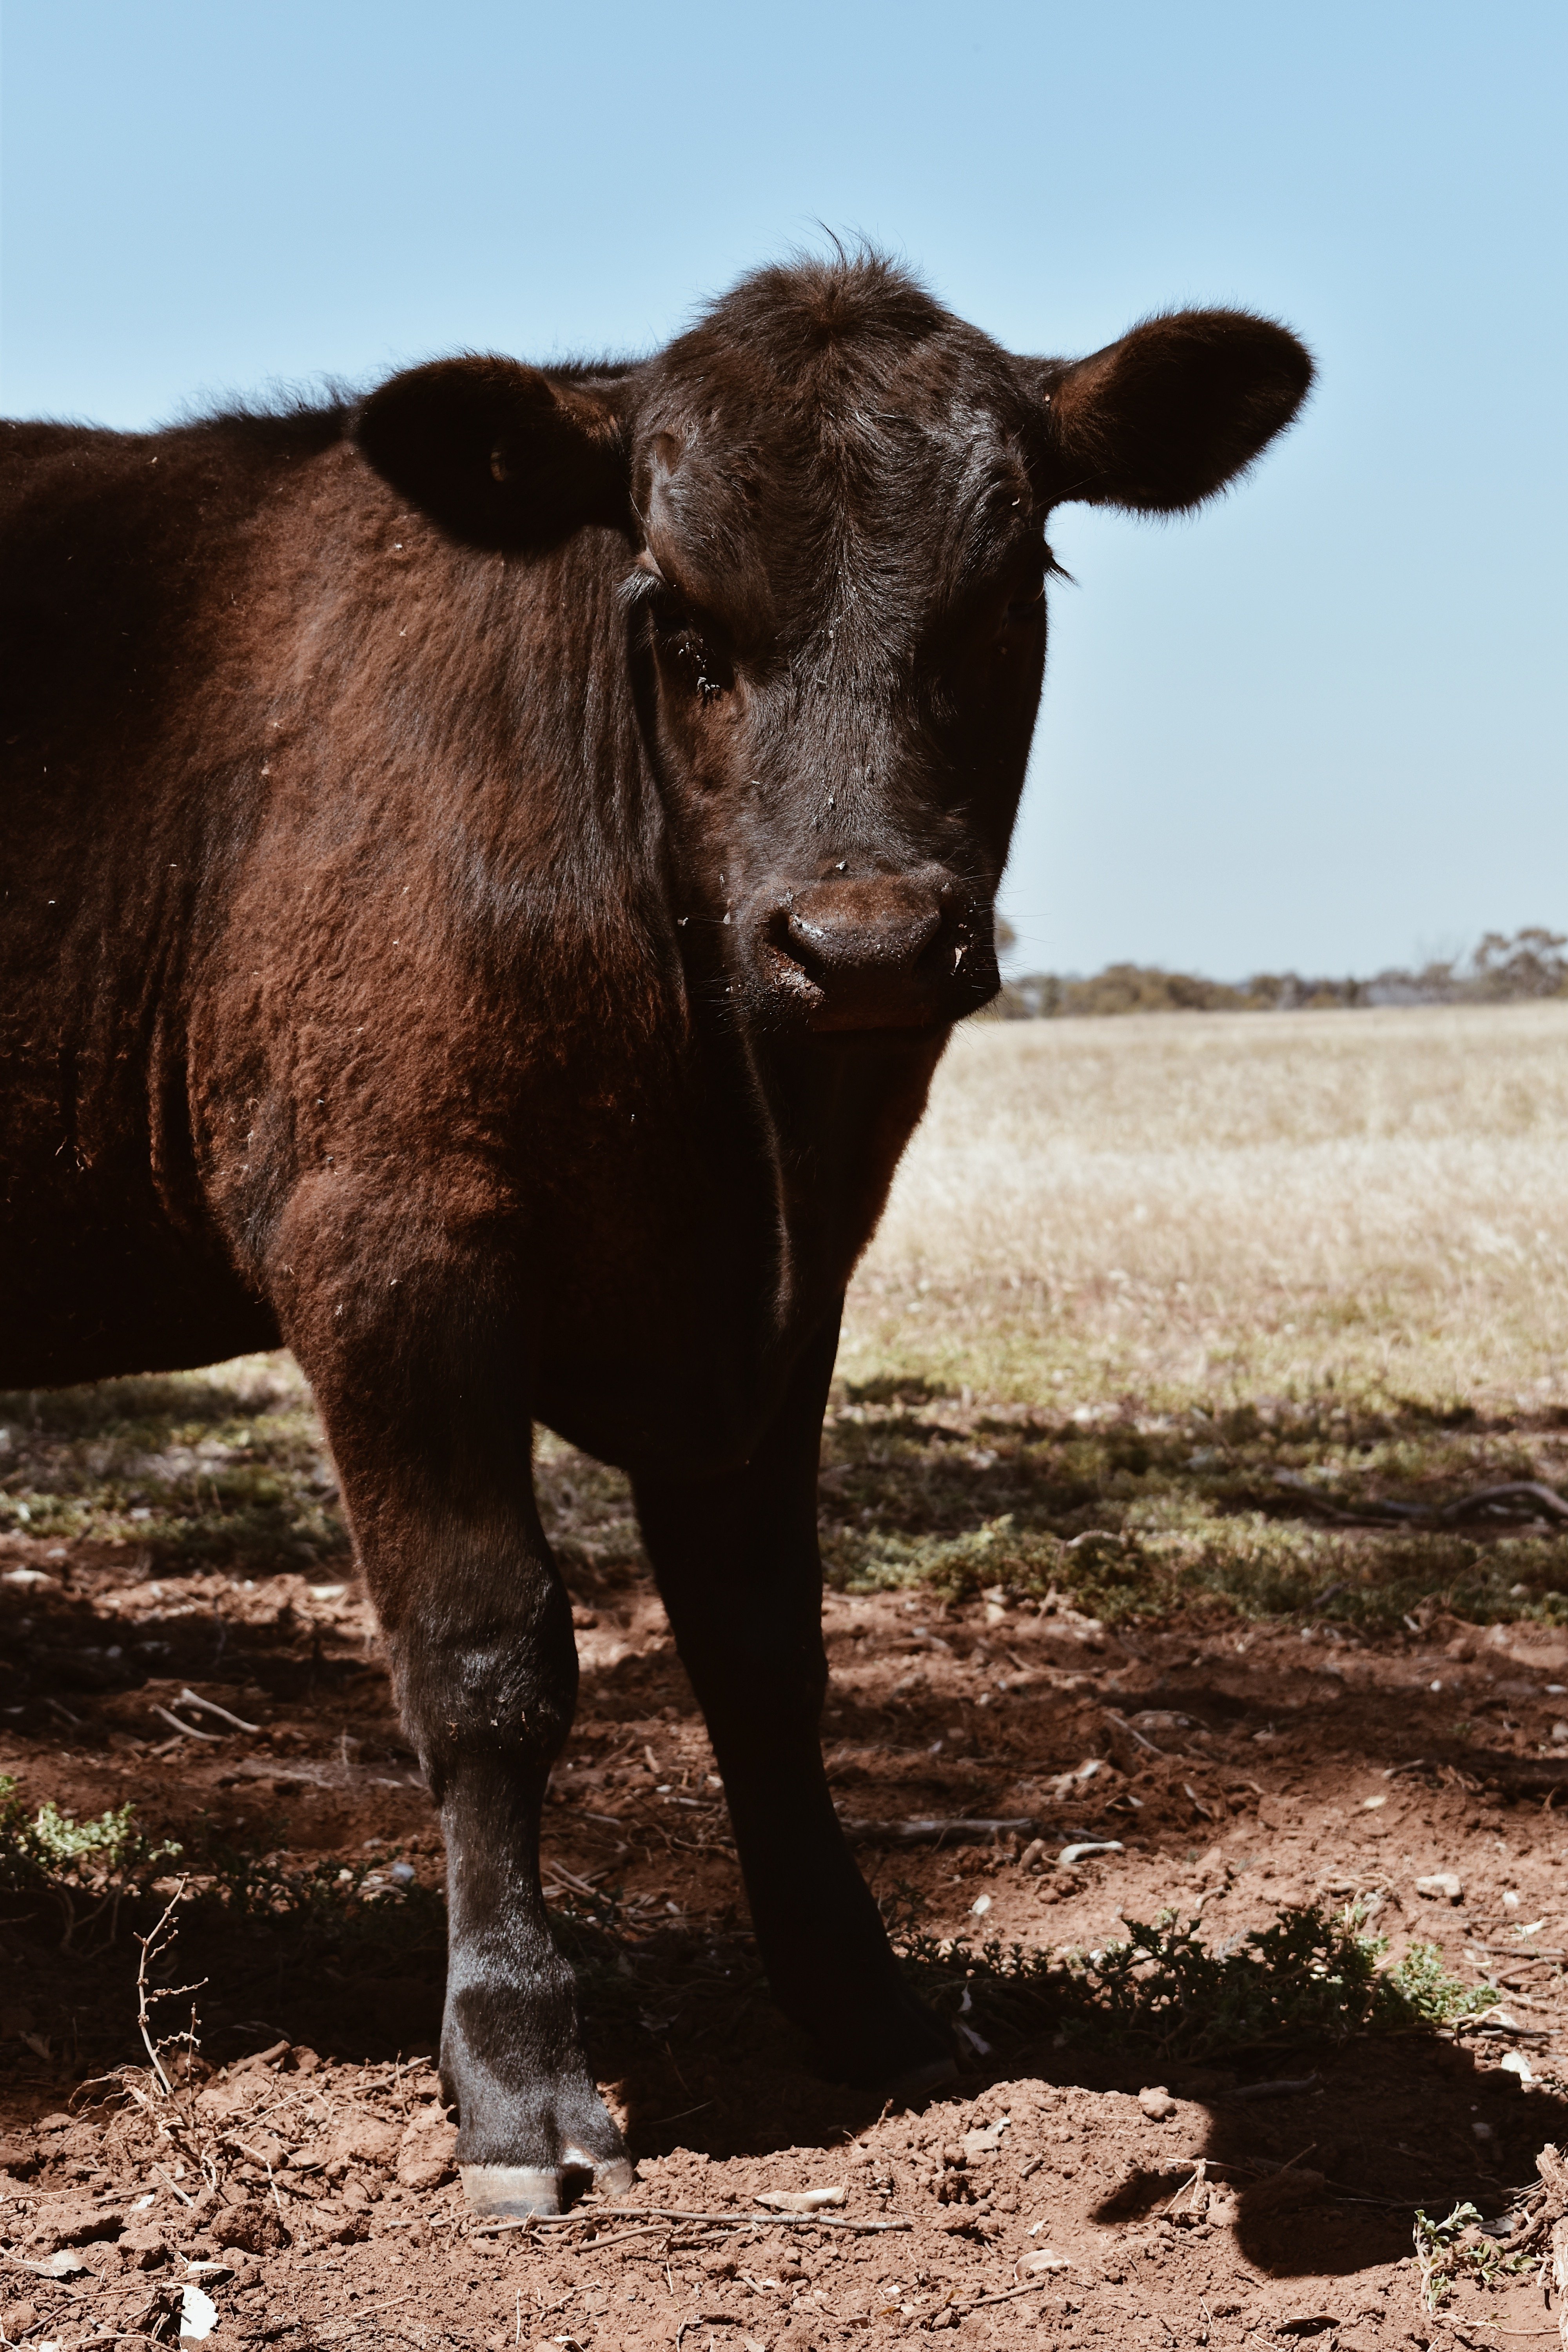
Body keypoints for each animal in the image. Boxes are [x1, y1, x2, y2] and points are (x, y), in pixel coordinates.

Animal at [0, 251, 1311, 2215]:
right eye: (681, 629)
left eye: (1005, 596)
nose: (863, 942)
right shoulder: (385, 1242)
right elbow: (486, 1658)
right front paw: (519, 2066)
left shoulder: (780, 1306)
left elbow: (768, 1656)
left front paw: (867, 2005)